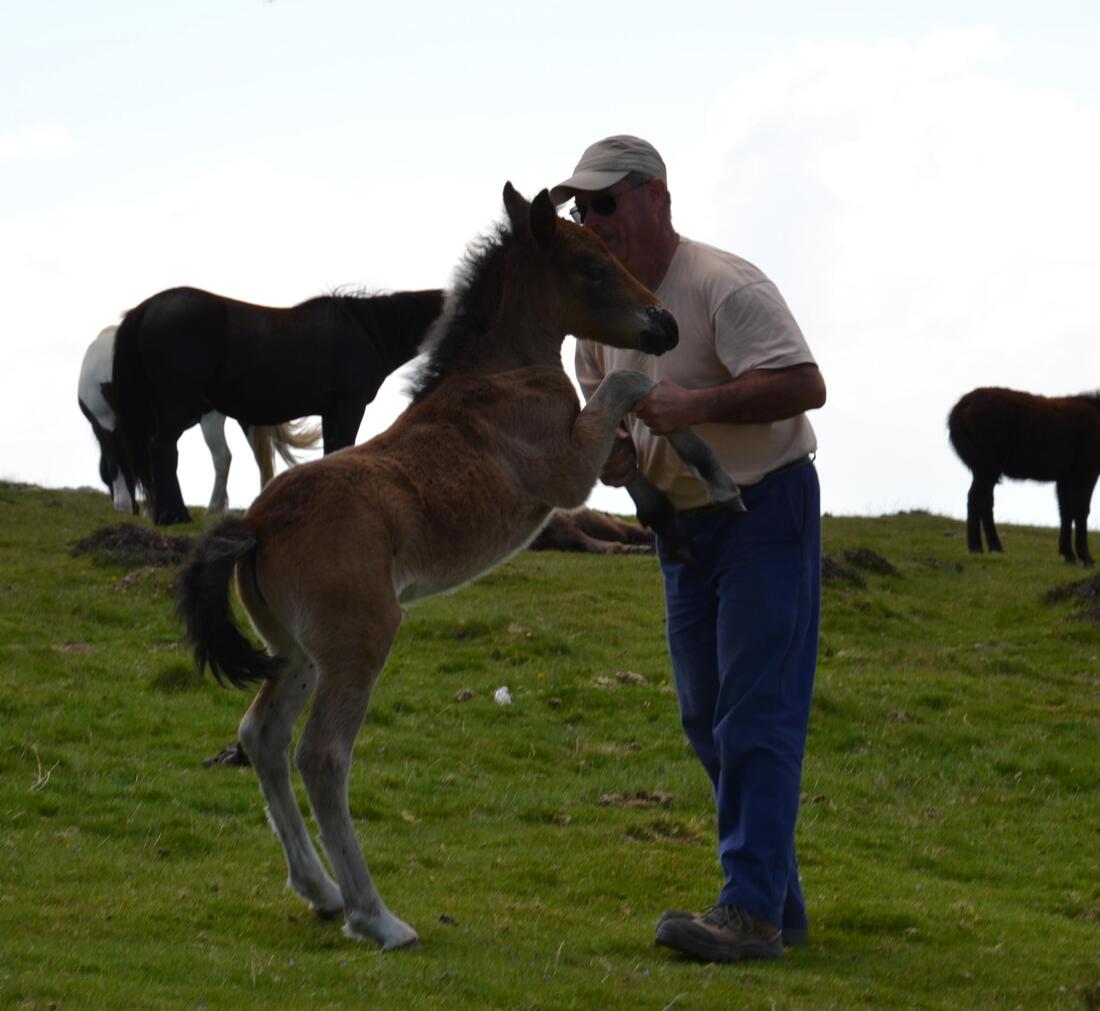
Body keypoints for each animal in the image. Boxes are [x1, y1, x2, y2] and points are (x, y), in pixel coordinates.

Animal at [76, 323, 319, 514]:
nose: (135, 509)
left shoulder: (104, 423)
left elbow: (114, 460)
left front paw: (124, 505)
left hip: (211, 417)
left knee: (223, 457)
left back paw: (214, 507)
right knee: (262, 459)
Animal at [176, 185, 743, 954]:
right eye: (594, 265)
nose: (667, 324)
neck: (503, 375)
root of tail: (255, 526)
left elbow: (645, 410)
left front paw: (692, 505)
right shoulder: (566, 473)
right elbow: (632, 387)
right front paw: (715, 480)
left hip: (293, 651)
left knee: (261, 737)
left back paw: (320, 891)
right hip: (358, 640)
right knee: (321, 755)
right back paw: (376, 916)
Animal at [946, 382, 1100, 563]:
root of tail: (962, 405)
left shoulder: (1065, 476)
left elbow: (1065, 512)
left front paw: (1068, 554)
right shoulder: (1086, 470)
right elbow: (1081, 510)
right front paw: (1086, 557)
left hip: (985, 467)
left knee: (985, 501)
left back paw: (995, 547)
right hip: (988, 465)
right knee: (977, 498)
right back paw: (976, 547)